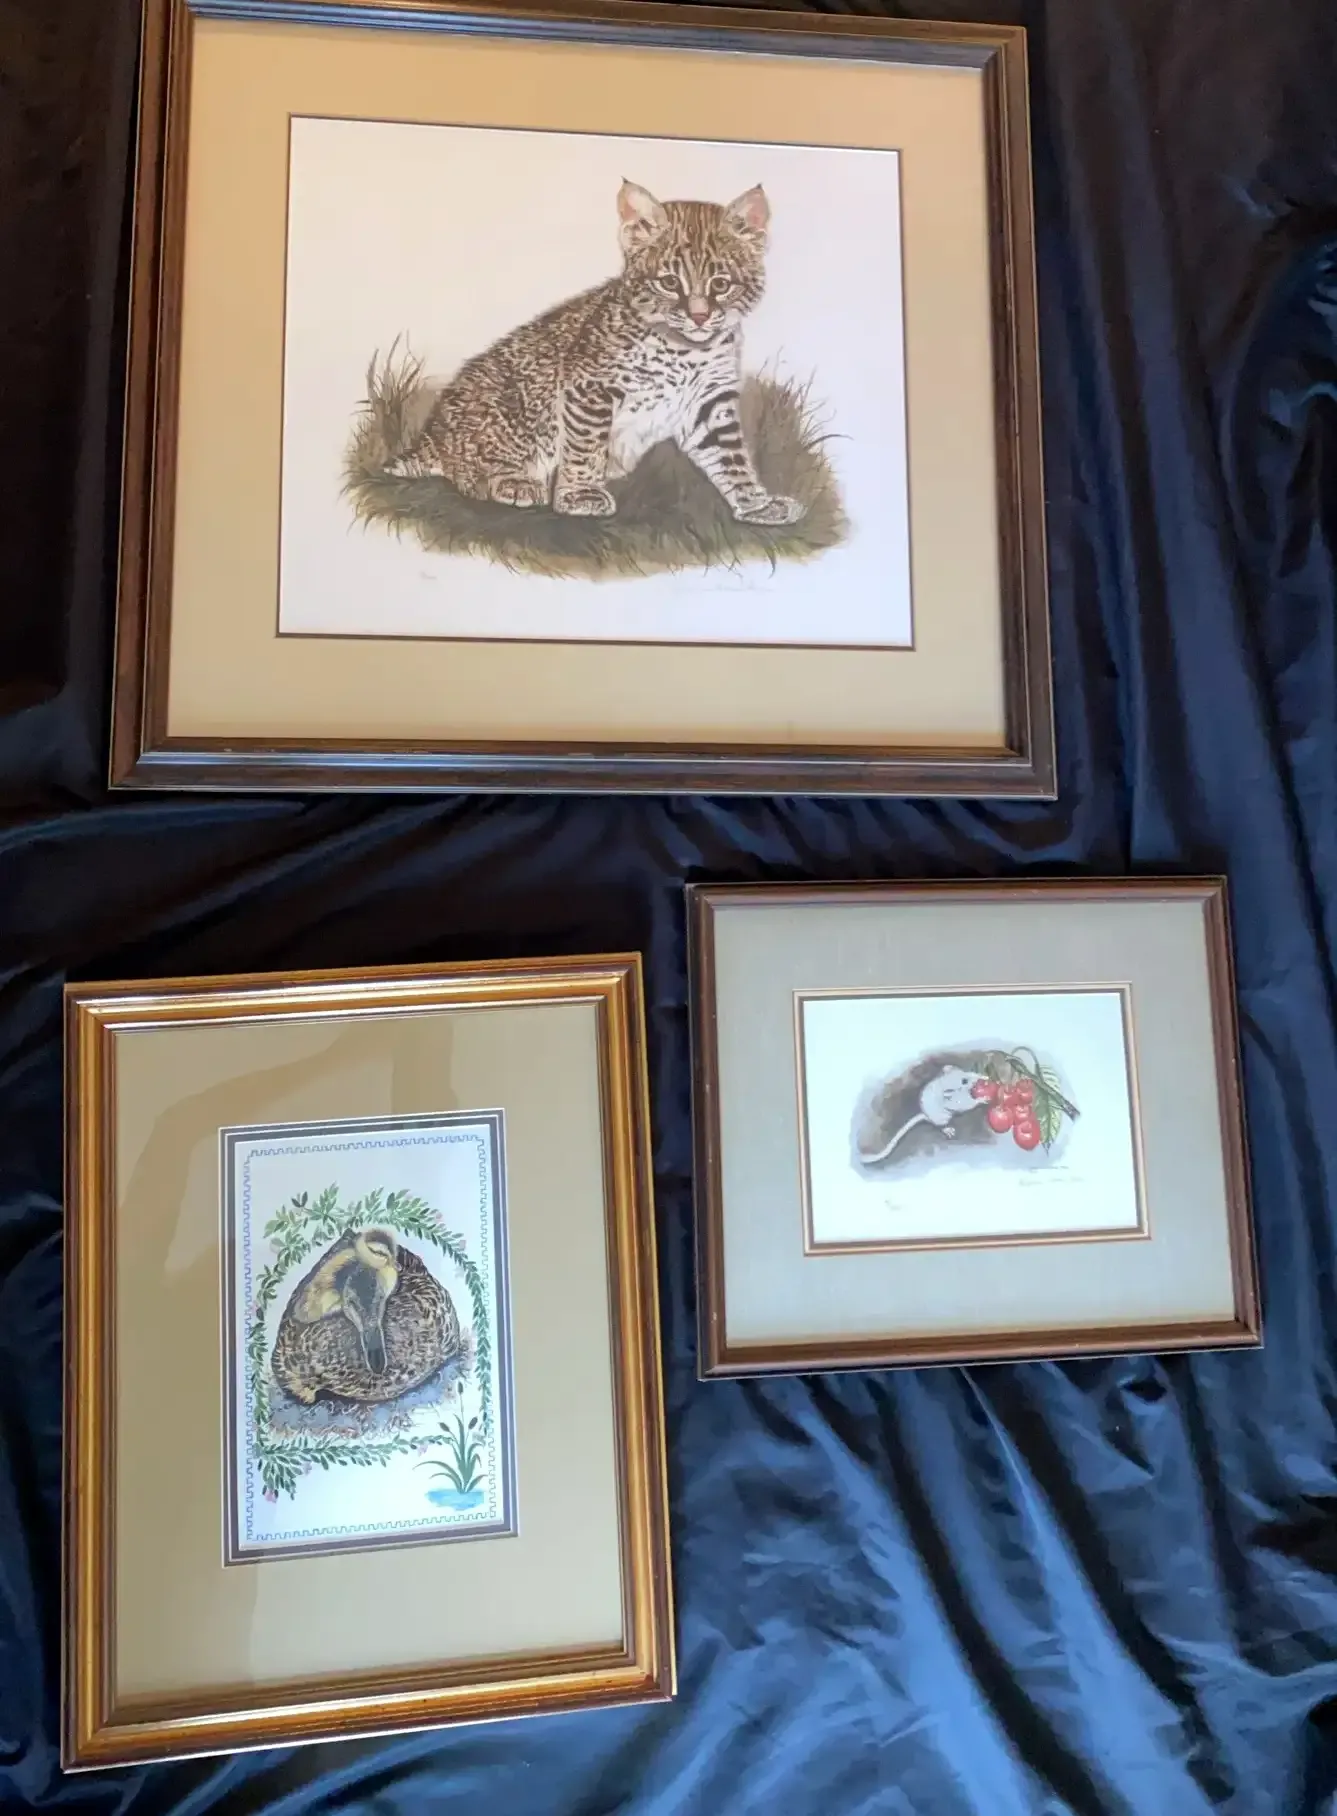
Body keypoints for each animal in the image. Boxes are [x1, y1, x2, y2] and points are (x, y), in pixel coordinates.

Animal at [385, 179, 805, 527]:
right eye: (670, 282)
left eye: (721, 284)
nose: (700, 317)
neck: (687, 349)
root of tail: (431, 433)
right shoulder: (589, 386)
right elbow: (585, 445)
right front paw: (581, 495)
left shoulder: (709, 402)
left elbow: (732, 459)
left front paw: (757, 504)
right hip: (504, 407)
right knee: (470, 470)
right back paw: (516, 482)